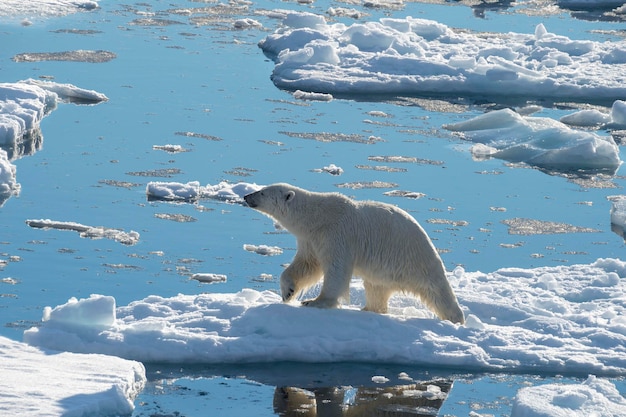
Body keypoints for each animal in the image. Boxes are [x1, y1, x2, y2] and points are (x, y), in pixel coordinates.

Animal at [244, 184, 464, 324]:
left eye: (262, 192)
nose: (246, 196)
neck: (317, 216)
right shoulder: (311, 239)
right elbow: (307, 265)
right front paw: (287, 292)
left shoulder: (338, 234)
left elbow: (336, 270)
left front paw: (314, 301)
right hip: (383, 272)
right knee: (376, 289)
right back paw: (368, 309)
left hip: (414, 260)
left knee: (438, 292)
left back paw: (455, 318)